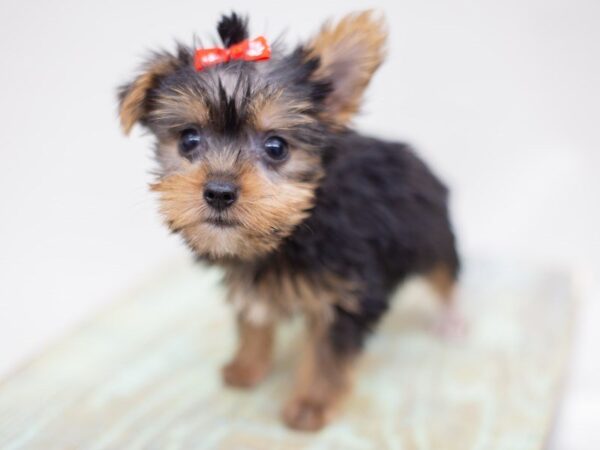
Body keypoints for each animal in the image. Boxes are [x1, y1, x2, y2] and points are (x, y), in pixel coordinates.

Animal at [117, 11, 460, 432]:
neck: (291, 232)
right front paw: (247, 366)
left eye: (276, 147)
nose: (219, 192)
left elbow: (328, 354)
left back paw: (452, 320)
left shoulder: (347, 295)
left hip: (433, 232)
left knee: (445, 276)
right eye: (189, 140)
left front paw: (311, 403)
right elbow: (253, 320)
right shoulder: (249, 281)